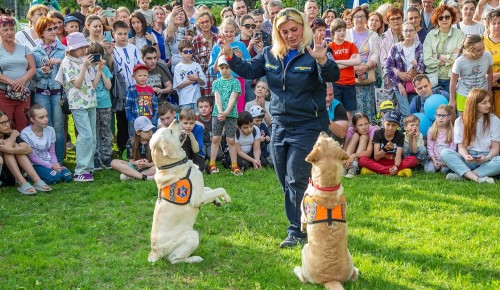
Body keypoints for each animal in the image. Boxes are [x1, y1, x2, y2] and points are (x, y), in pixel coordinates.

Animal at [147, 121, 231, 264]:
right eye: (170, 131)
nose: (176, 120)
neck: (172, 165)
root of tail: (154, 253)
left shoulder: (200, 190)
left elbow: (210, 189)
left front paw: (217, 201)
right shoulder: (197, 198)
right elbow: (219, 189)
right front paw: (226, 197)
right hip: (192, 235)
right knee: (175, 259)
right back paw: (195, 258)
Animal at [292, 133, 360, 290]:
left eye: (318, 143)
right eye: (334, 141)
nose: (323, 132)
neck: (328, 187)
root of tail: (331, 279)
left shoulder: (303, 210)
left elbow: (302, 220)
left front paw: (302, 228)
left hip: (304, 249)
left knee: (303, 278)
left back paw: (296, 269)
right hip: (350, 257)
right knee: (354, 275)